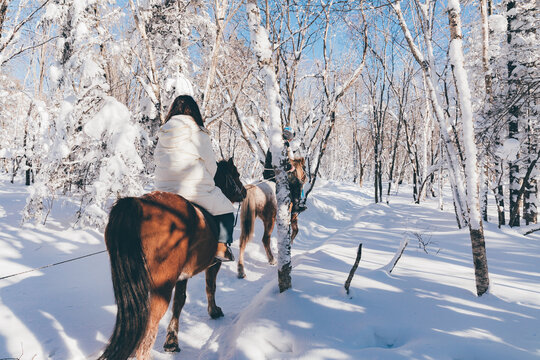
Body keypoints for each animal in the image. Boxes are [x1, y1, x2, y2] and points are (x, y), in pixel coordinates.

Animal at [98, 159, 246, 358]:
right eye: (236, 174)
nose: (244, 192)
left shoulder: (182, 275)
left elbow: (179, 302)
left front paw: (171, 341)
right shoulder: (213, 264)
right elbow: (210, 287)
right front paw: (214, 311)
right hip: (162, 286)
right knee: (149, 329)